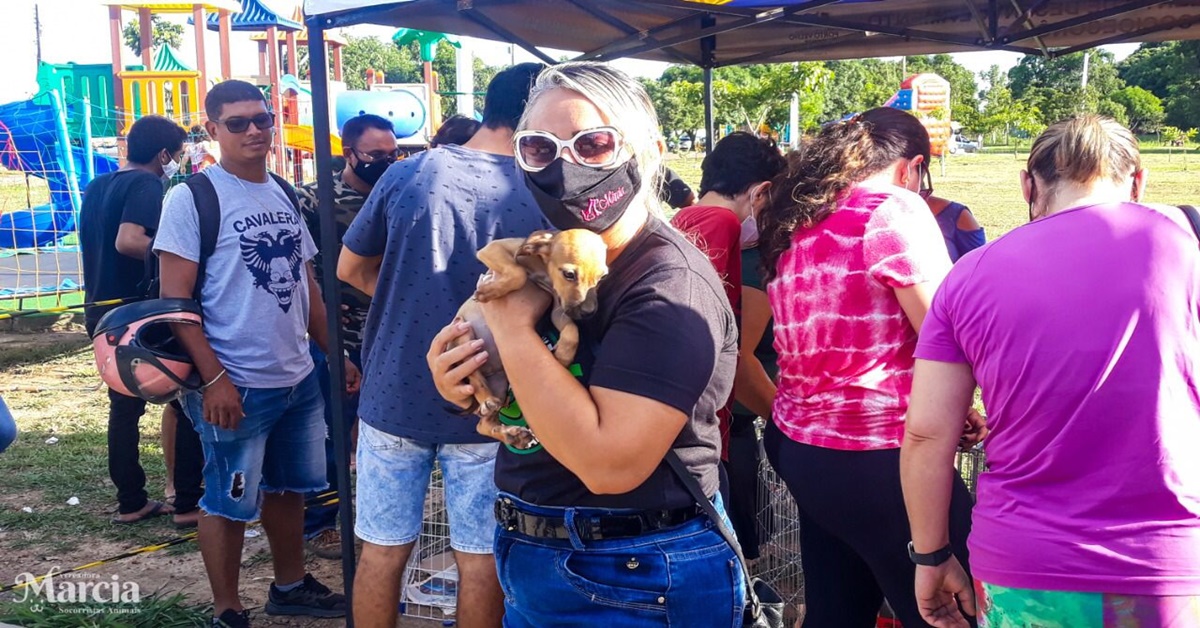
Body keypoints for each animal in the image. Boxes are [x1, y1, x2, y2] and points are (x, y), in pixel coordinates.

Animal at [453, 229, 614, 446]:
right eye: (569, 274)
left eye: (602, 277)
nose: (589, 313)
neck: (542, 268)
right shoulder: (493, 249)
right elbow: (519, 273)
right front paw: (489, 291)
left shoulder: (558, 308)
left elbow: (572, 330)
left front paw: (563, 355)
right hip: (465, 335)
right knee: (474, 375)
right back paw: (487, 401)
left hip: (500, 384)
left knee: (483, 425)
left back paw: (513, 435)